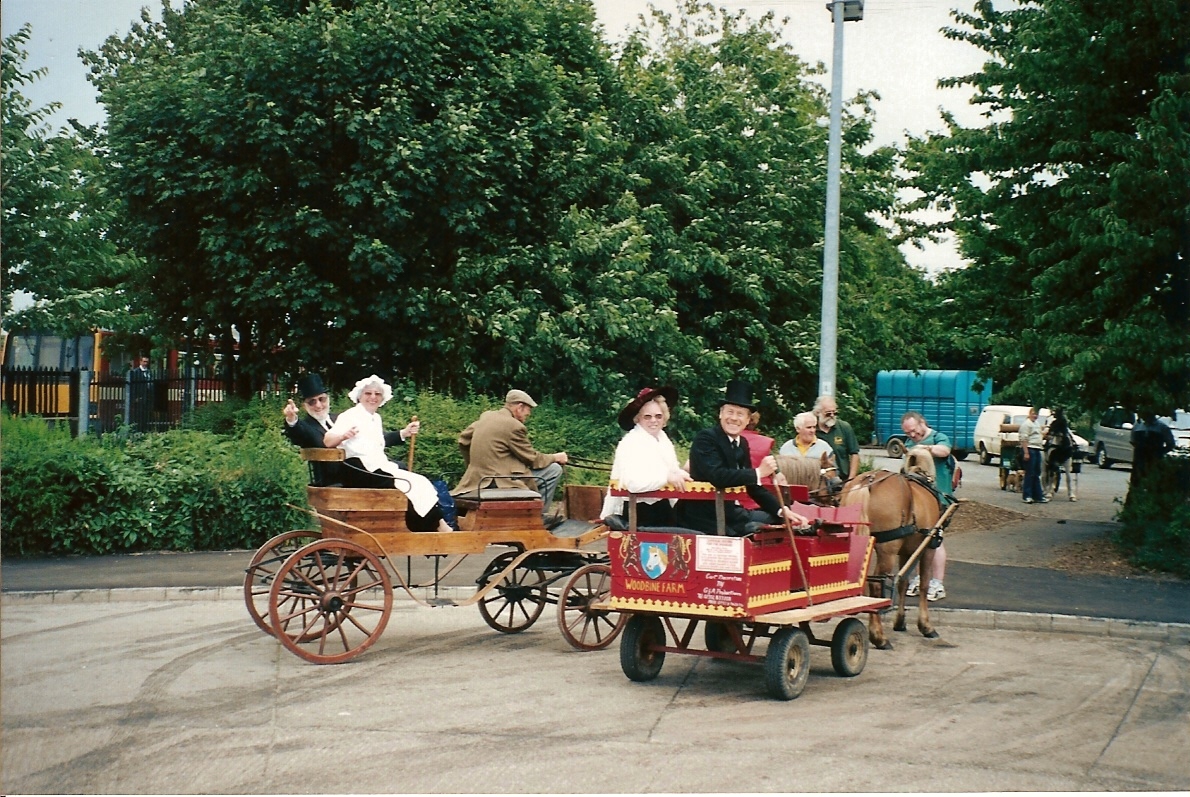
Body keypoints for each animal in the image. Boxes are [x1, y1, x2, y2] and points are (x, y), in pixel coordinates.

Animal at [837, 449, 956, 647]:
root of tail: (866, 482)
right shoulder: (927, 549)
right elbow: (924, 584)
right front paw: (926, 626)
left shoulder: (906, 552)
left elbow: (903, 582)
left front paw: (900, 621)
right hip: (888, 552)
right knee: (875, 584)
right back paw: (878, 636)